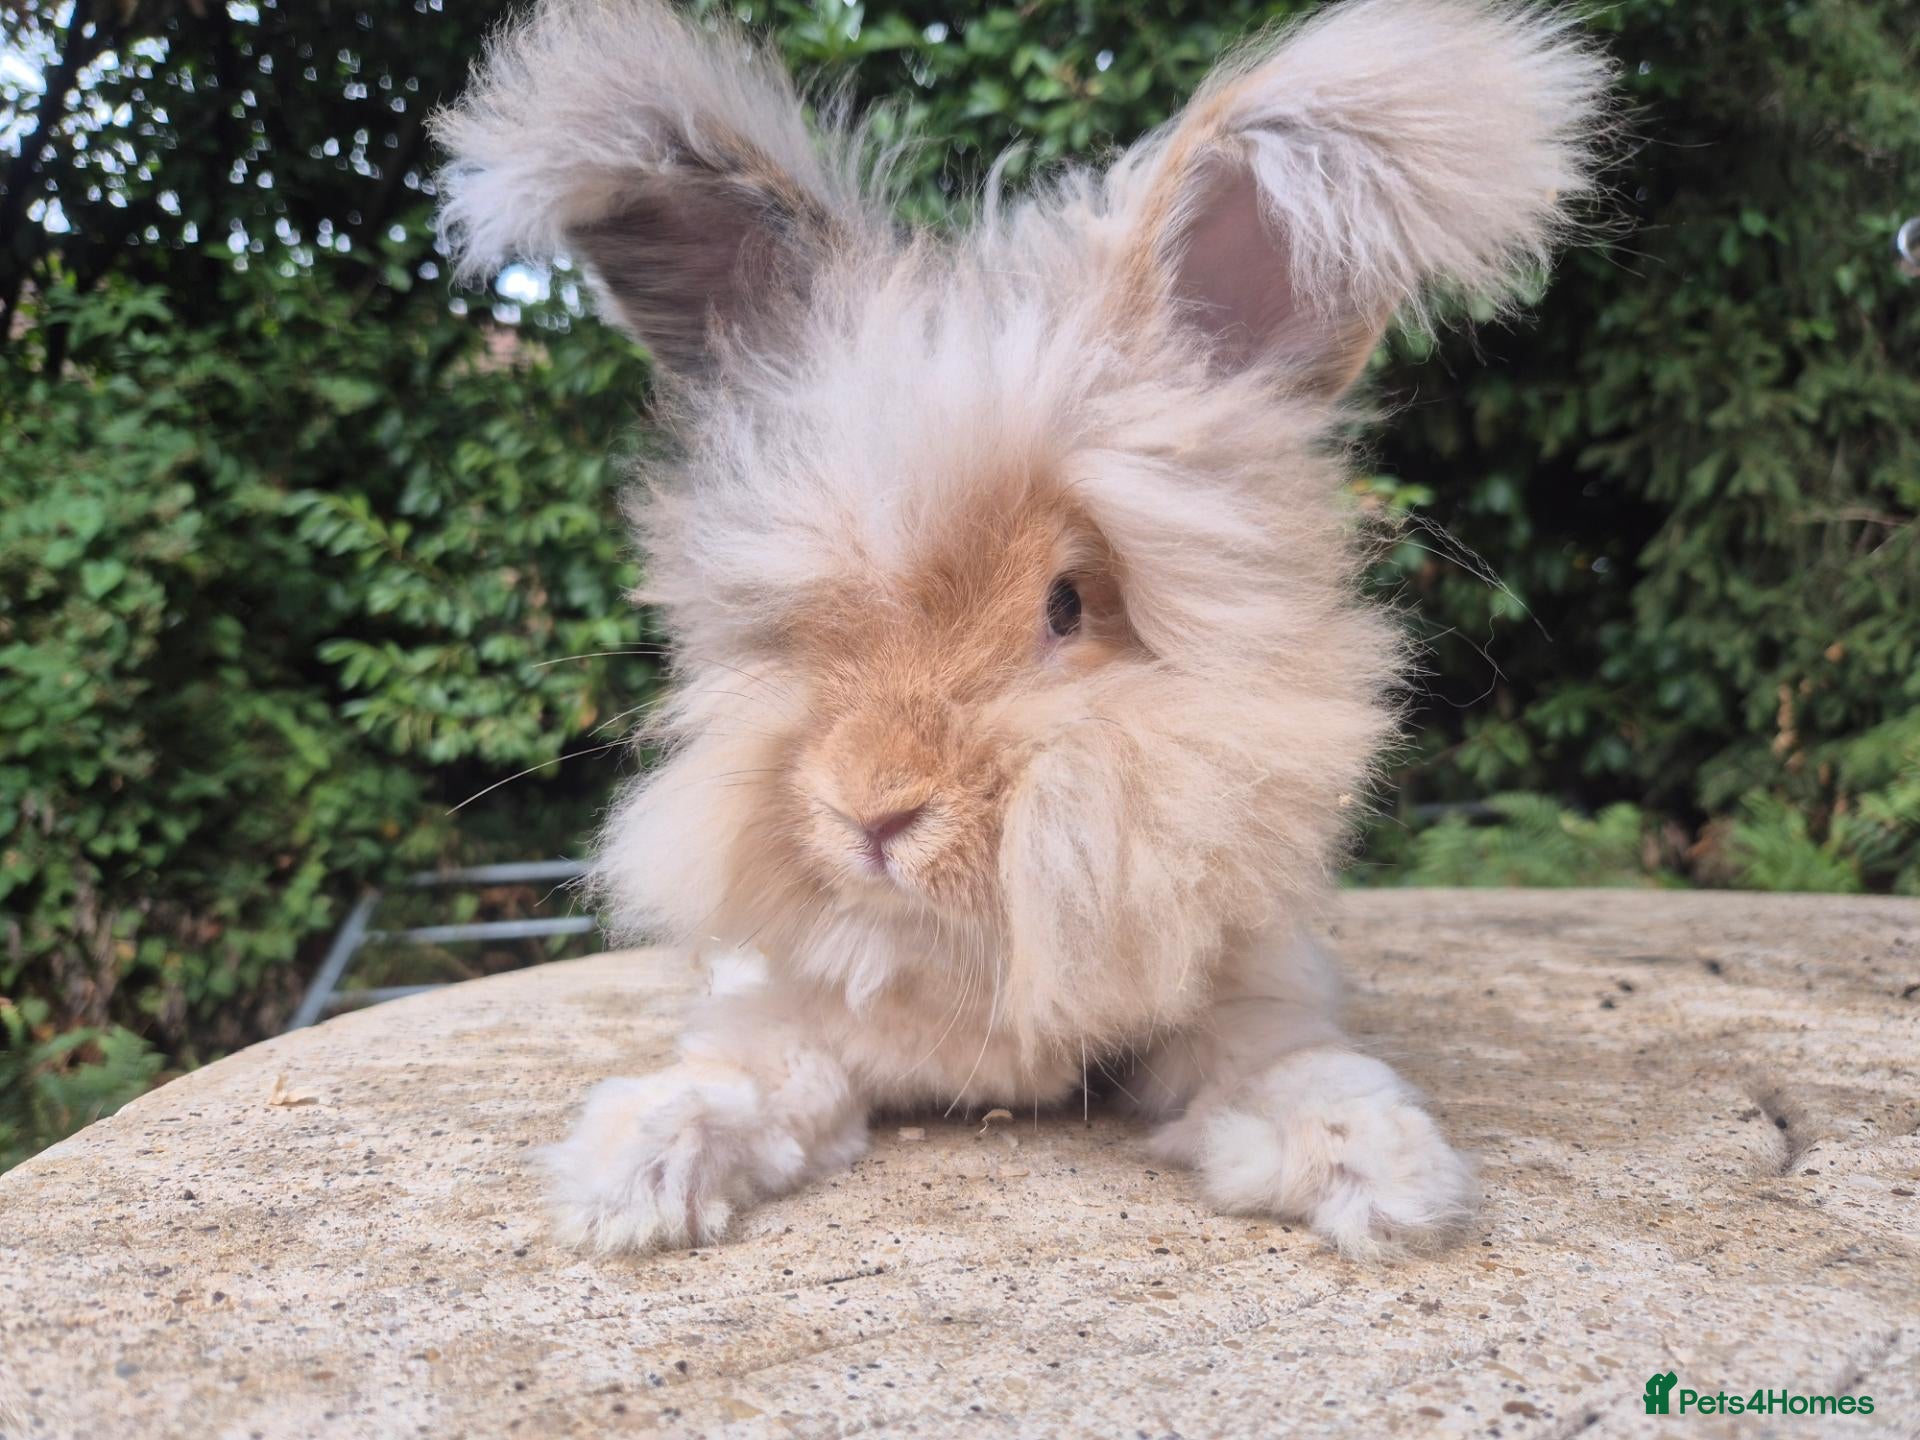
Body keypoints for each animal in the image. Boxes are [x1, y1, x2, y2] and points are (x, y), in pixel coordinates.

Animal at [433, 0, 1609, 1259]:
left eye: (1067, 605)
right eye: (805, 616)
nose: (873, 812)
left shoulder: (1239, 996)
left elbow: (1277, 1065)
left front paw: (1382, 1173)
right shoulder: (793, 1014)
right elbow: (752, 1077)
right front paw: (631, 1175)